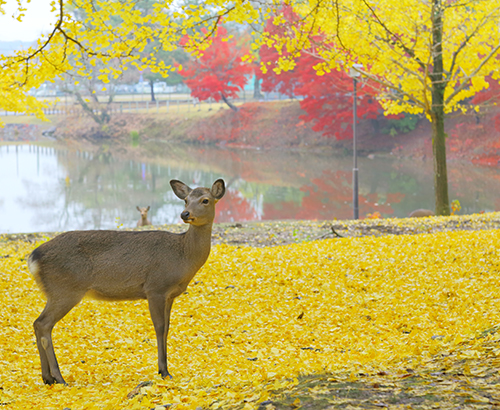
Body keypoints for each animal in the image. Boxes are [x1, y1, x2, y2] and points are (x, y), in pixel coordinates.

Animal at [27, 179, 227, 384]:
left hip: (56, 292)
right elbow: (159, 327)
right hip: (65, 290)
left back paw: (47, 378)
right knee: (43, 324)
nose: (185, 214)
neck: (183, 256)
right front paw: (164, 371)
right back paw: (59, 378)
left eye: (205, 200)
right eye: (186, 200)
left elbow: (167, 327)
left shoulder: (170, 295)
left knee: (37, 324)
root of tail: (34, 257)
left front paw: (163, 369)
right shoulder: (155, 287)